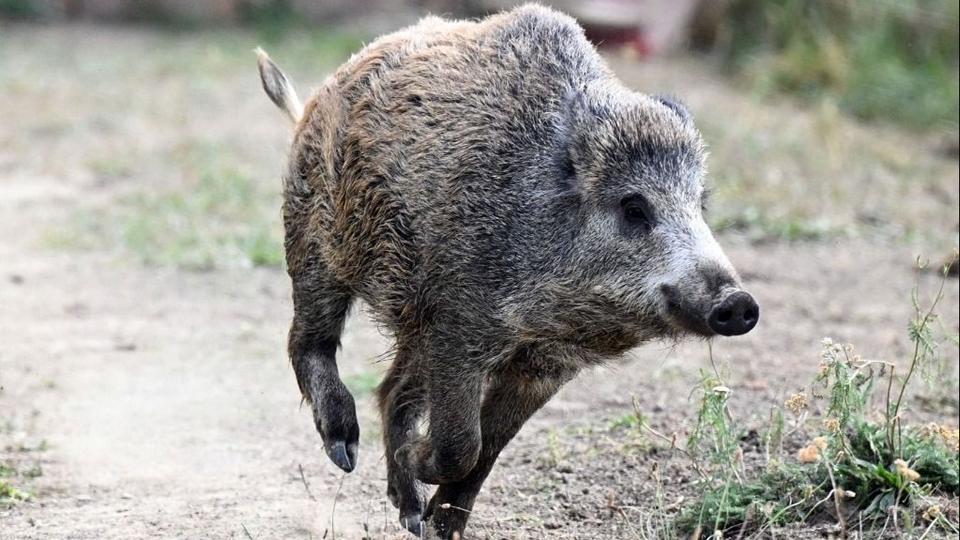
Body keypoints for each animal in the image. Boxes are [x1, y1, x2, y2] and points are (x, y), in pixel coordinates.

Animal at [257, 4, 758, 538]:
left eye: (700, 205)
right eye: (633, 207)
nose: (738, 303)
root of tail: (318, 97)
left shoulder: (544, 363)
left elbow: (488, 448)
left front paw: (442, 527)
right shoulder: (459, 327)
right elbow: (462, 443)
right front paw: (420, 472)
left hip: (413, 323)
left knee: (392, 390)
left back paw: (410, 515)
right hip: (312, 240)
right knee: (309, 339)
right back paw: (345, 452)